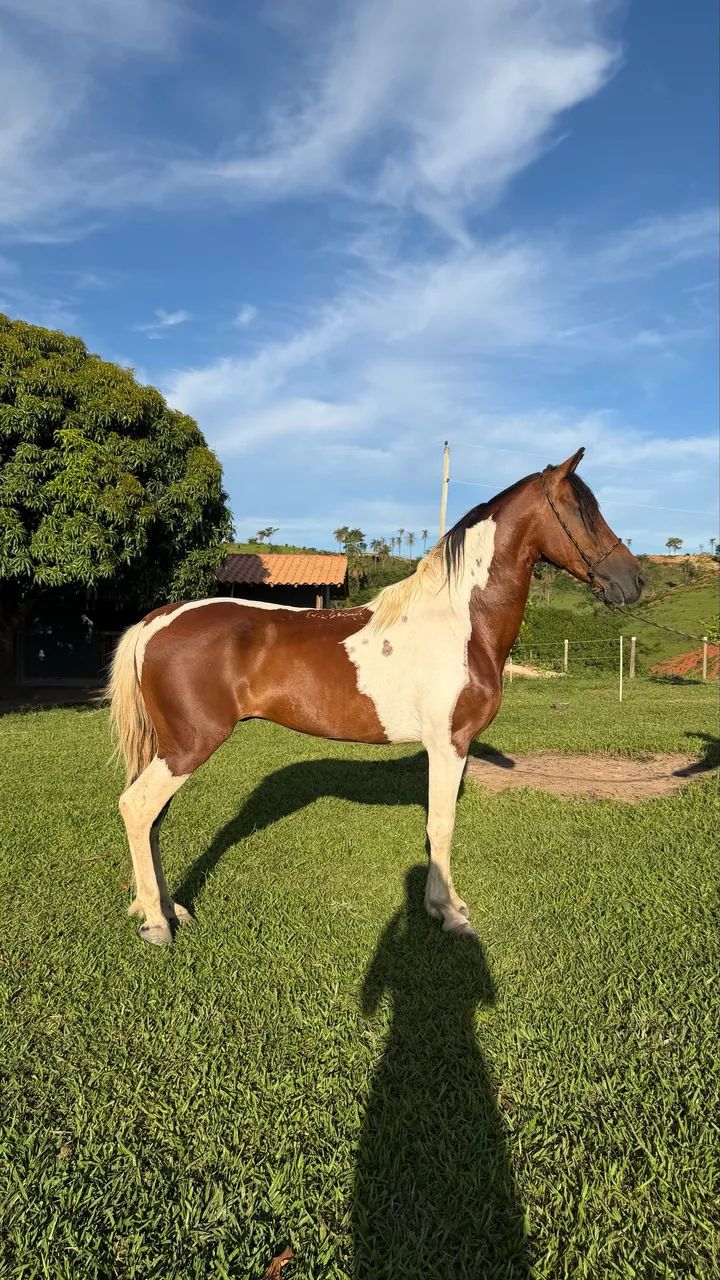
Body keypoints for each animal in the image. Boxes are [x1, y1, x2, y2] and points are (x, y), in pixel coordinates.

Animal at [108, 449, 644, 946]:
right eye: (583, 511)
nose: (634, 581)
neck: (461, 623)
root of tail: (157, 620)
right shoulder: (448, 744)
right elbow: (441, 827)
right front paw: (449, 913)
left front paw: (447, 906)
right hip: (188, 746)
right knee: (137, 808)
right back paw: (157, 924)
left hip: (170, 748)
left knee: (152, 820)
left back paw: (171, 909)